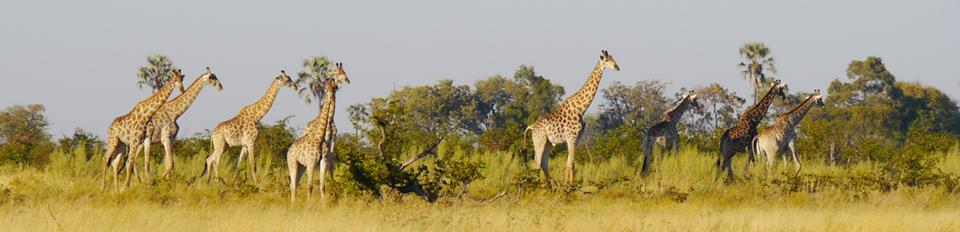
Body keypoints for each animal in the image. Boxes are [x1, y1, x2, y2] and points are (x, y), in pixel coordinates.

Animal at [286, 62, 350, 200]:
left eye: (344, 72)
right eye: (338, 73)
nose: (348, 80)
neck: (320, 137)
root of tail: (289, 150)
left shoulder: (325, 155)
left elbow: (322, 185)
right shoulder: (312, 162)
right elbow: (310, 186)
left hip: (301, 166)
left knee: (295, 184)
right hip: (293, 163)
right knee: (293, 184)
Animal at [524, 49, 624, 184]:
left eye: (613, 58)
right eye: (607, 60)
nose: (617, 67)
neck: (581, 109)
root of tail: (533, 127)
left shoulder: (577, 139)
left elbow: (571, 164)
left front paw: (569, 184)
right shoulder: (571, 138)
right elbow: (570, 164)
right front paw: (569, 185)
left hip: (548, 143)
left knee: (544, 163)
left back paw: (550, 185)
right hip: (539, 140)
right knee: (536, 163)